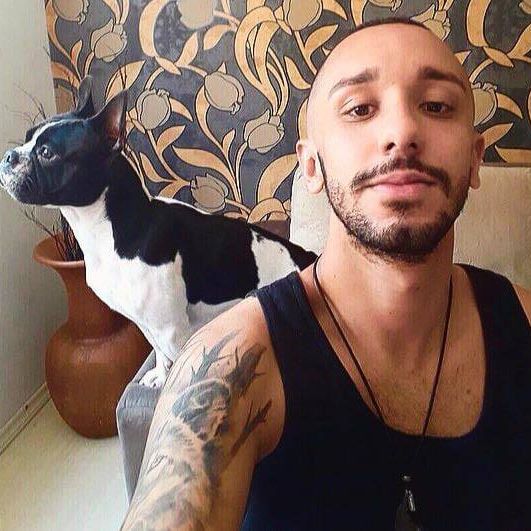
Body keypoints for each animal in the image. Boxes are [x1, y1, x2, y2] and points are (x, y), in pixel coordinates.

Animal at [0, 76, 316, 387]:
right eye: (27, 137)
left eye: (47, 153)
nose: (8, 156)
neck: (112, 230)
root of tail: (307, 257)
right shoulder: (147, 324)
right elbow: (160, 355)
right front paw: (160, 377)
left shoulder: (172, 331)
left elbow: (179, 365)